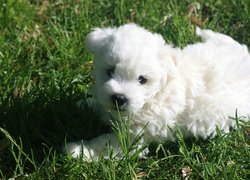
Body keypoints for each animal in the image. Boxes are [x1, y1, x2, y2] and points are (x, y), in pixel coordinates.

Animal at [65, 23, 250, 160]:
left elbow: (104, 144)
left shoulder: (133, 137)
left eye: (142, 79)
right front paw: (87, 103)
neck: (154, 96)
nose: (119, 98)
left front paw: (77, 151)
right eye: (110, 71)